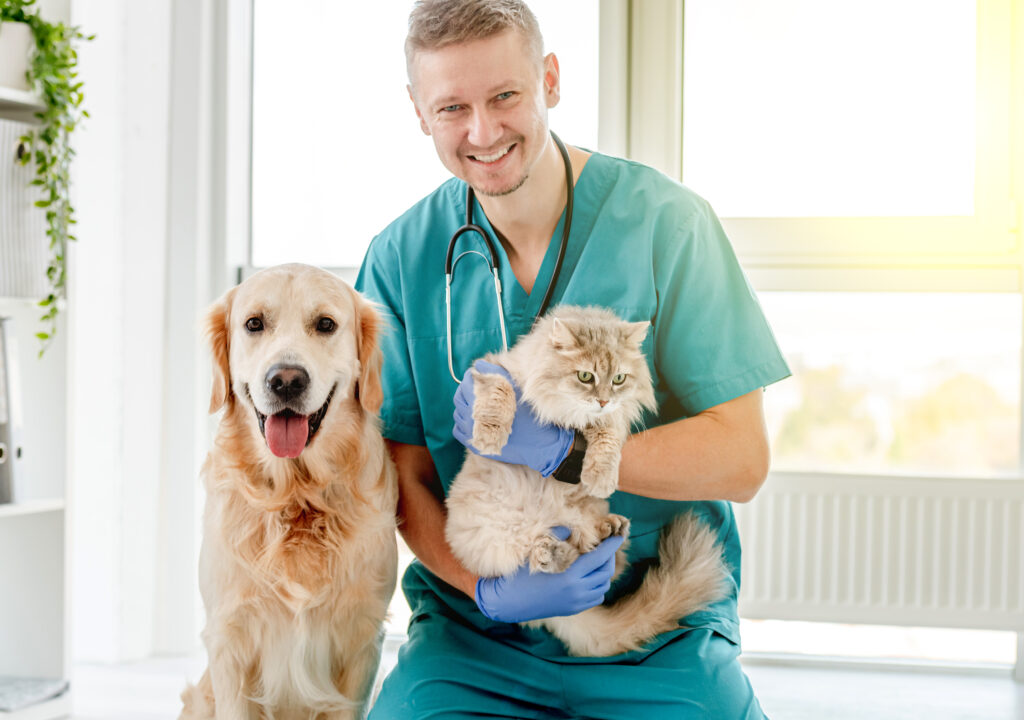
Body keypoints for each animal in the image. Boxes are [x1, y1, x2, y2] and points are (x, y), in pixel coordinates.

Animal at [444, 305, 733, 659]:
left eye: (619, 379)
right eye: (585, 377)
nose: (603, 400)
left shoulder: (610, 420)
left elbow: (606, 436)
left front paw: (600, 476)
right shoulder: (491, 368)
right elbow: (500, 393)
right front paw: (489, 437)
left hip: (583, 520)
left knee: (597, 556)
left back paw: (606, 531)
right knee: (544, 567)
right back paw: (552, 557)